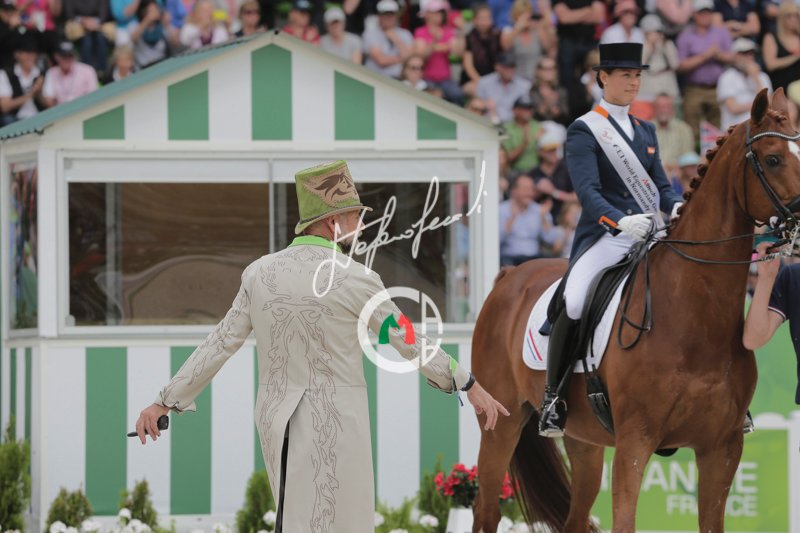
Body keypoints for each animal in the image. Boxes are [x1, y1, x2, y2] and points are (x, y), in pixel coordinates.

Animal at [469, 88, 800, 533]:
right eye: (773, 158)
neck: (696, 317)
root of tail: (509, 276)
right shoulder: (635, 441)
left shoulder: (723, 446)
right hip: (500, 423)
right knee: (486, 508)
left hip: (584, 442)